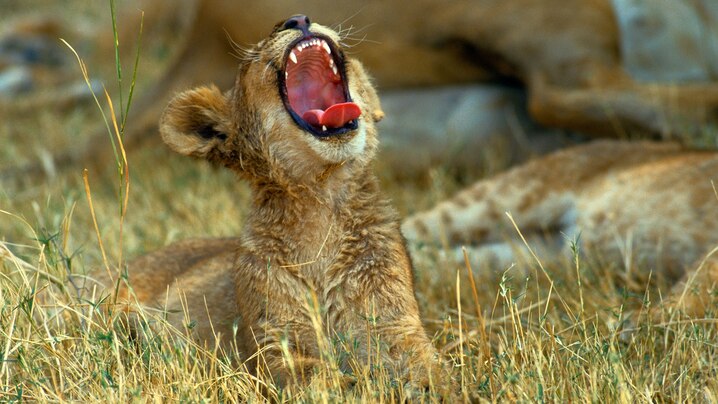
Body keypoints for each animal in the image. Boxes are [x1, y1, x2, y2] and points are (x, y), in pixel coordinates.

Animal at [97, 15, 446, 389]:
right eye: (252, 57)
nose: (298, 19)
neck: (321, 205)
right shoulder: (275, 346)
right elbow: (316, 375)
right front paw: (352, 383)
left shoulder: (397, 326)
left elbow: (428, 368)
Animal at [402, 140, 718, 319]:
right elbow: (694, 287)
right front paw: (646, 326)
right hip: (507, 193)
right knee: (409, 227)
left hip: (533, 258)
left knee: (443, 260)